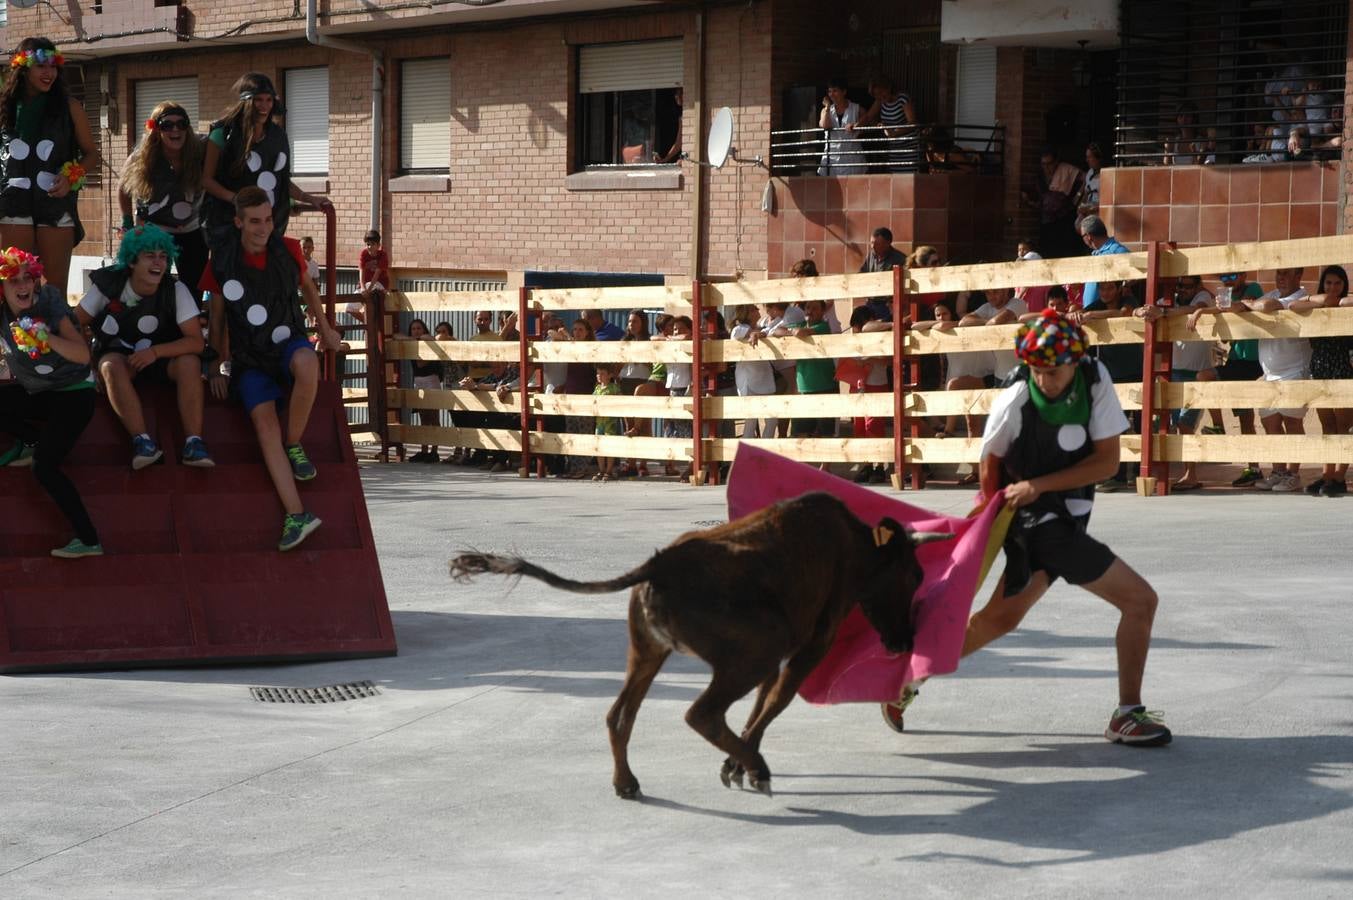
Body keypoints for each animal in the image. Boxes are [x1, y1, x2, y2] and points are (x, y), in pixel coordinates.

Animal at [449, 492, 947, 801]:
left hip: (649, 653)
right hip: (754, 650)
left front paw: (735, 765)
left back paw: (628, 783)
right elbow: (775, 702)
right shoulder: (809, 646)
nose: (905, 641)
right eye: (914, 575)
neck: (856, 546)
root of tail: (658, 566)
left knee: (620, 716)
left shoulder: (774, 660)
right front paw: (743, 767)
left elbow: (759, 707)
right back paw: (759, 770)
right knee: (700, 713)